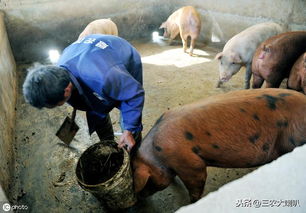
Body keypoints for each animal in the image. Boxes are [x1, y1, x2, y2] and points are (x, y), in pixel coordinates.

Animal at [133, 88, 306, 203]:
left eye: (147, 182)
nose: (138, 198)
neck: (156, 155)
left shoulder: (191, 164)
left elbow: (196, 185)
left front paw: (191, 203)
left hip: (293, 139)